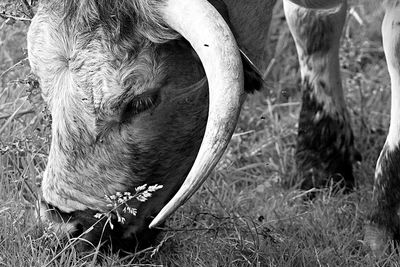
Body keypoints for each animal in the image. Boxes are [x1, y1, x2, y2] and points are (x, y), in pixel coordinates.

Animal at [25, 0, 390, 256]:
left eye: (140, 101)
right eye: (44, 87)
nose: (61, 226)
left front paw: (383, 229)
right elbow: (312, 24)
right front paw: (322, 166)